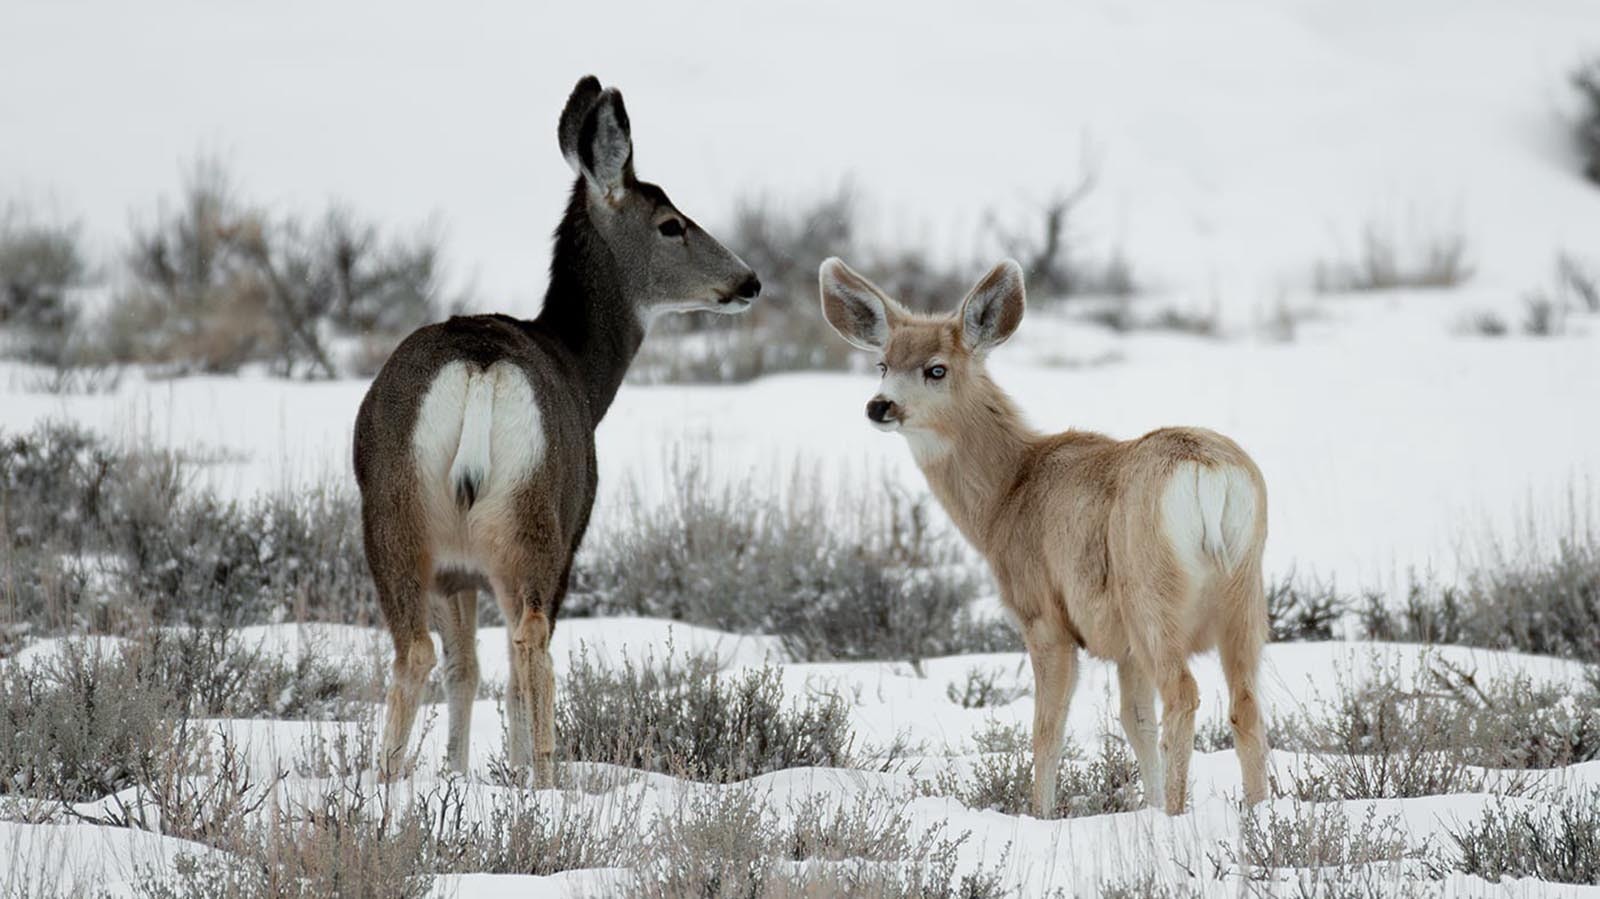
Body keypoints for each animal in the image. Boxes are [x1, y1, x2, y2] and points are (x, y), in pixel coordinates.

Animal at [360, 75, 758, 777]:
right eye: (671, 224)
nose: (749, 280)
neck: (579, 369)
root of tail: (480, 366)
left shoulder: (459, 571)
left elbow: (465, 669)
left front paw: (456, 772)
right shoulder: (575, 531)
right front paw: (514, 773)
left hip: (395, 516)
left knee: (416, 650)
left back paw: (385, 782)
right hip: (535, 516)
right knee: (530, 643)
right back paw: (544, 776)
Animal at [825, 257, 1260, 812]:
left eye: (936, 368)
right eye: (882, 363)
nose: (879, 406)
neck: (1008, 493)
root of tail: (1207, 473)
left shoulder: (1044, 615)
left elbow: (1047, 730)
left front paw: (1042, 814)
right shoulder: (1123, 646)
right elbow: (1135, 723)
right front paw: (1146, 805)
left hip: (1151, 593)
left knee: (1183, 693)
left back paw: (1178, 815)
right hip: (1244, 593)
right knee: (1245, 702)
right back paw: (1258, 809)